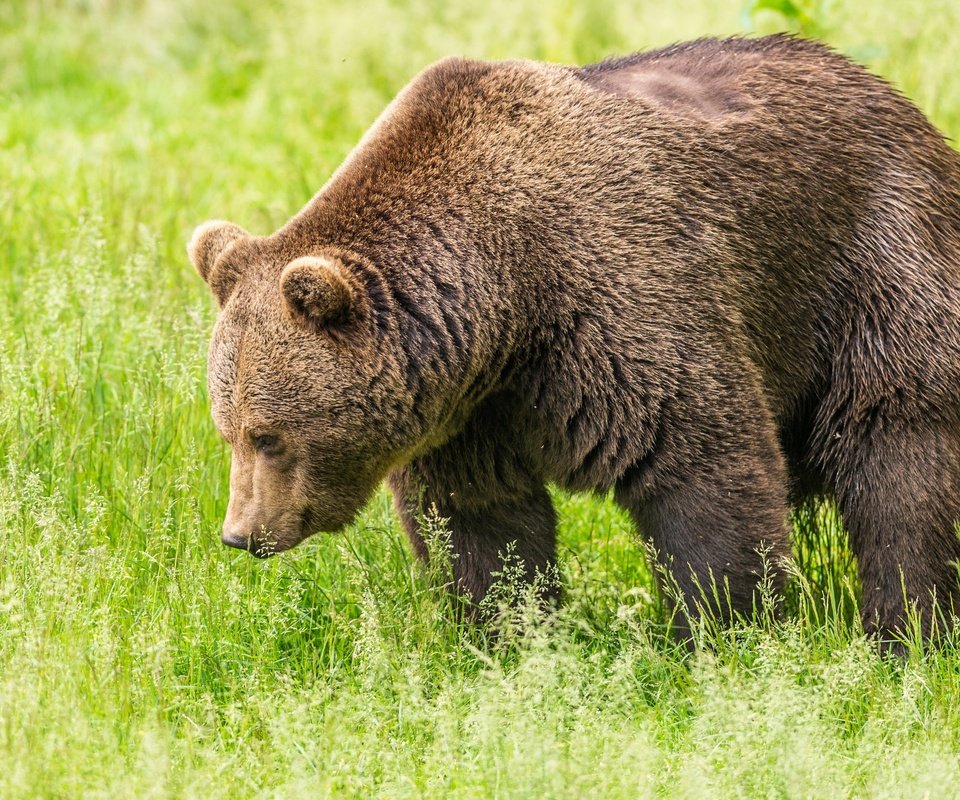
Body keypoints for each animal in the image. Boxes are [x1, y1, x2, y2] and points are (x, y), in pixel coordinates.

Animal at [191, 34, 960, 640]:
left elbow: (705, 469)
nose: (242, 534)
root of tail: (901, 105)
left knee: (899, 459)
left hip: (871, 266)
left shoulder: (623, 299)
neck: (506, 295)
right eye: (227, 431)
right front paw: (507, 638)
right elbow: (482, 524)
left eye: (268, 435)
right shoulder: (468, 408)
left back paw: (903, 632)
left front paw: (723, 632)